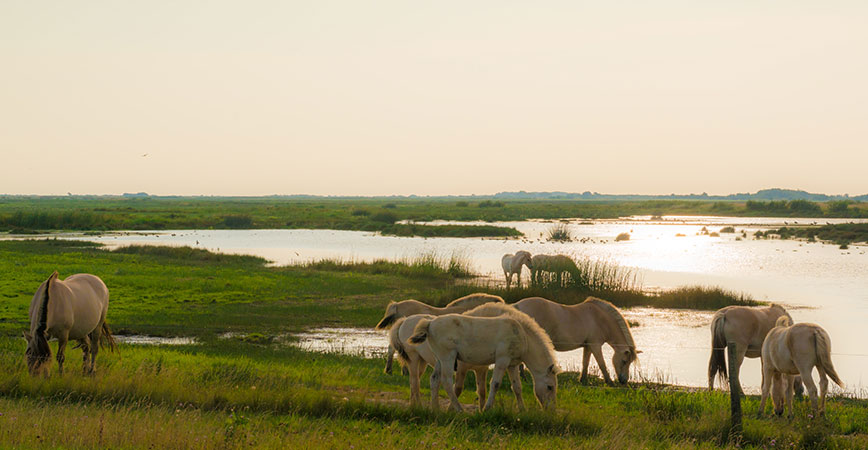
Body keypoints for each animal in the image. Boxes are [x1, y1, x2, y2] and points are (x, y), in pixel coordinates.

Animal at [406, 302, 556, 412]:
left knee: (434, 380)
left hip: (439, 360)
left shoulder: (512, 365)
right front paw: (487, 408)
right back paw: (459, 409)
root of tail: (430, 323)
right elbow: (495, 384)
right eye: (550, 387)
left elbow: (517, 387)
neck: (522, 334)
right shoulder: (502, 360)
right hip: (447, 358)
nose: (551, 411)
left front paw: (522, 410)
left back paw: (435, 409)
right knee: (446, 381)